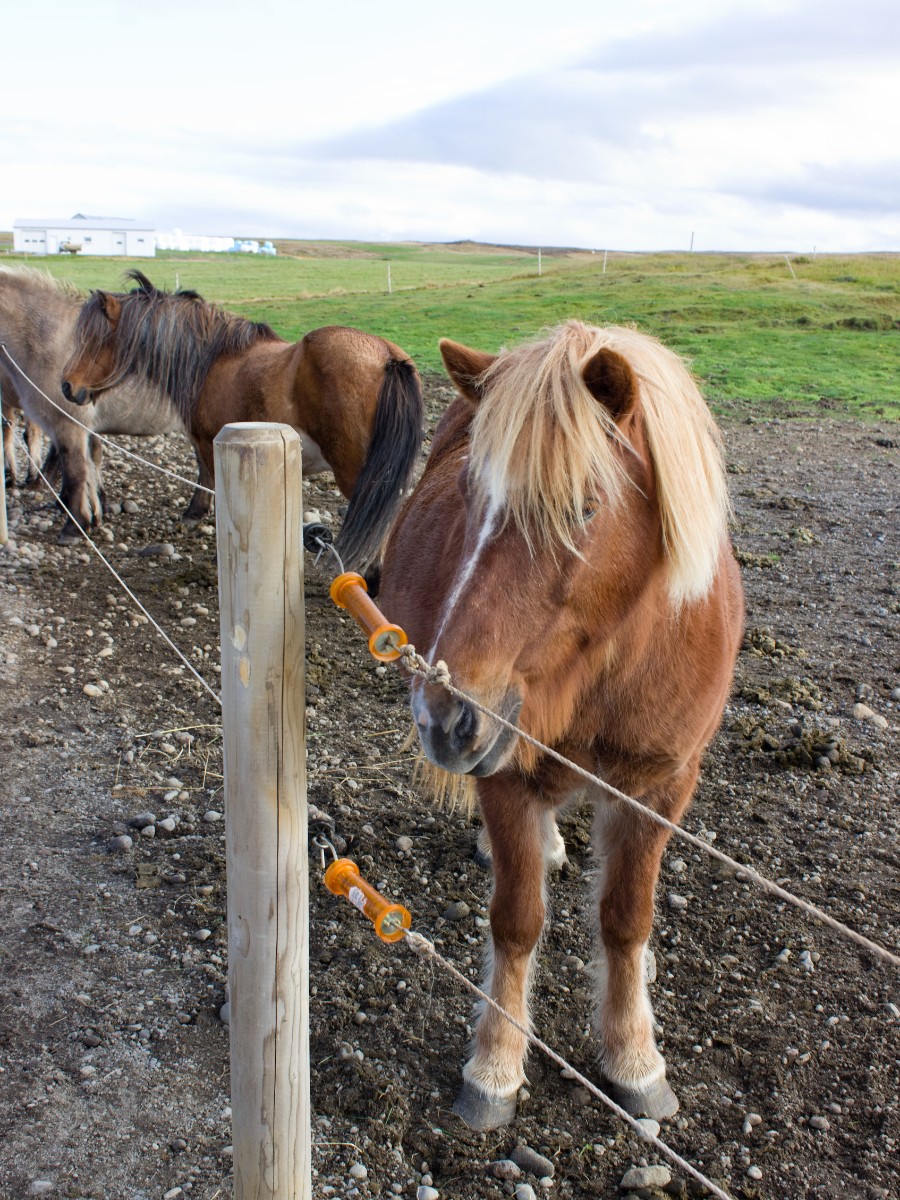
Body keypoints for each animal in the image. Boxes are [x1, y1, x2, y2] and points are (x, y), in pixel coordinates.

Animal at [0, 266, 195, 543]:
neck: (49, 340)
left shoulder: (68, 427)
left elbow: (76, 473)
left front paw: (74, 527)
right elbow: (90, 469)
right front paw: (93, 518)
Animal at [61, 270, 425, 570]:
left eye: (96, 339)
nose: (67, 386)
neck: (213, 358)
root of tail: (387, 356)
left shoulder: (206, 440)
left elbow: (208, 477)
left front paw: (199, 519)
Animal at [378, 319, 744, 1129]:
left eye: (583, 508)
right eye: (467, 496)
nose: (443, 715)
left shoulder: (660, 788)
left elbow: (627, 919)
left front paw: (634, 1057)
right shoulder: (506, 773)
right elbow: (516, 921)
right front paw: (495, 1065)